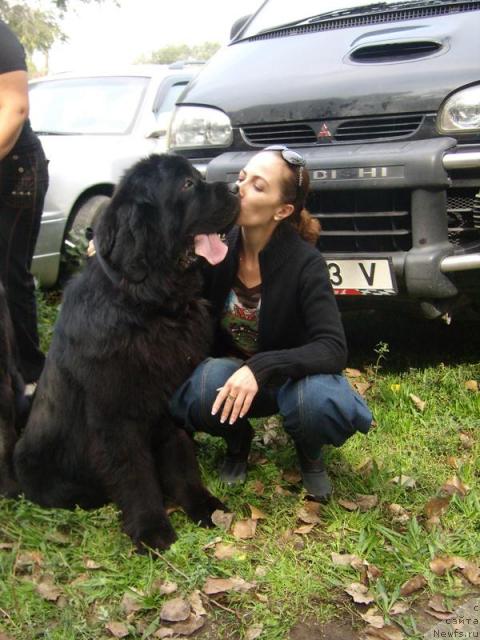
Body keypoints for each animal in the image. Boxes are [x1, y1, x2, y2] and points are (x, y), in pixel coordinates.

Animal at [14, 154, 239, 552]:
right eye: (187, 185)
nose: (239, 186)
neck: (149, 307)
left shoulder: (169, 400)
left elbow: (182, 459)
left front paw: (203, 505)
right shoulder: (115, 417)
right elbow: (135, 473)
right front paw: (152, 528)